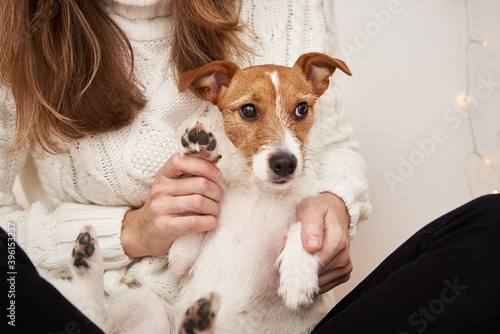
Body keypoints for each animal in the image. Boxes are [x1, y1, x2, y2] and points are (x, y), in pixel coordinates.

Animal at [48, 52, 350, 334]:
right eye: (248, 110)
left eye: (302, 109)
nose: (285, 163)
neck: (260, 192)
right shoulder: (182, 257)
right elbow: (190, 230)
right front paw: (199, 152)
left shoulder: (320, 300)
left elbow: (302, 225)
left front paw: (297, 276)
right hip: (143, 302)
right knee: (98, 316)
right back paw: (87, 260)